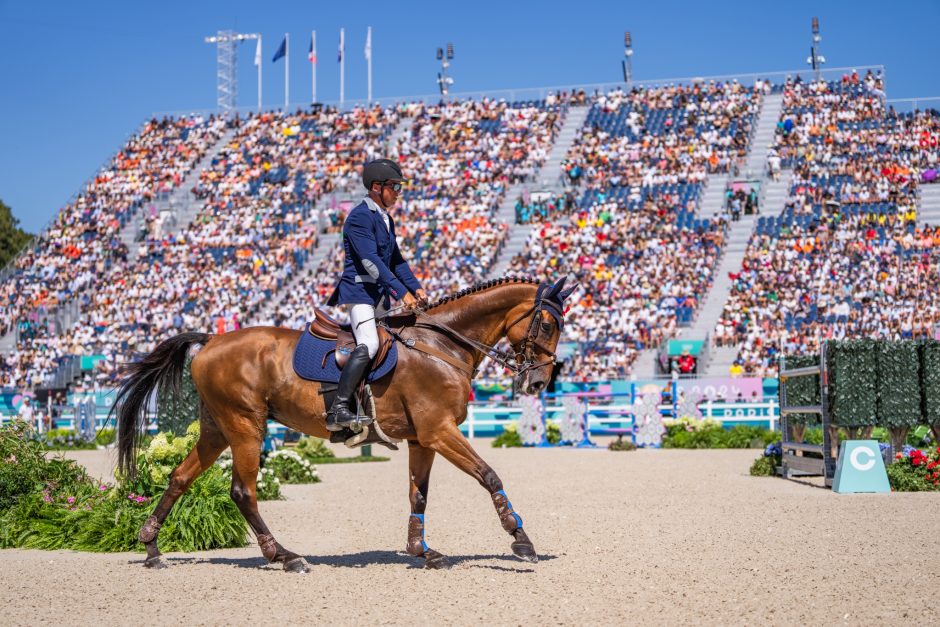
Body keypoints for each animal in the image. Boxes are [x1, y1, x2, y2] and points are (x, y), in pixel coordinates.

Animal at [114, 278, 576, 572]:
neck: (439, 344)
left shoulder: (422, 440)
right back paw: (285, 557)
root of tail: (210, 340)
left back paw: (151, 546)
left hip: (216, 430)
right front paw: (520, 539)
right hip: (245, 426)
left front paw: (422, 551)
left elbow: (419, 495)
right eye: (548, 324)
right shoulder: (439, 431)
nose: (538, 382)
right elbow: (489, 474)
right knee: (243, 491)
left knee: (180, 477)